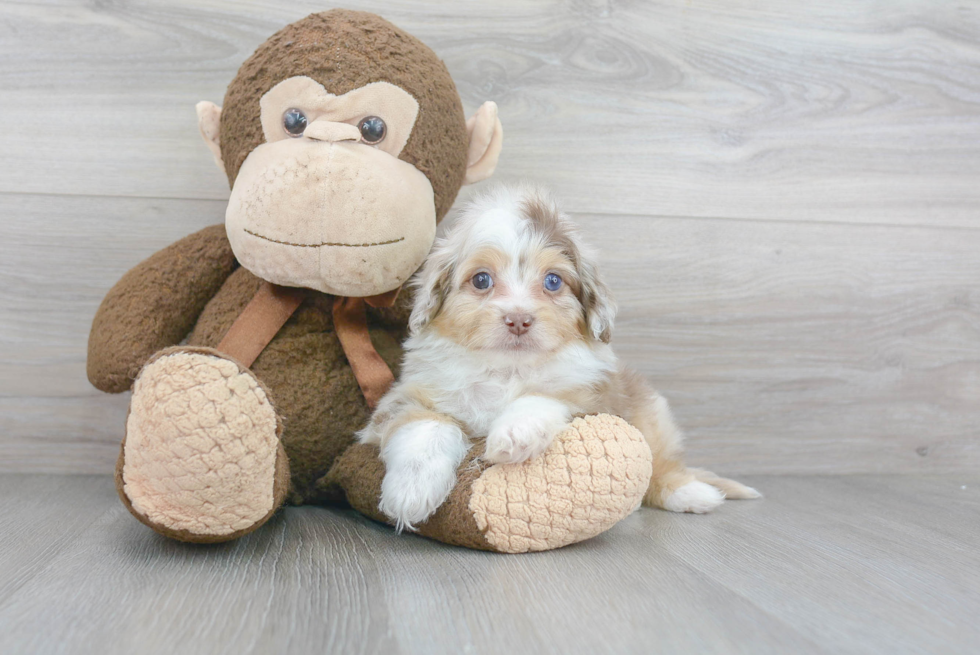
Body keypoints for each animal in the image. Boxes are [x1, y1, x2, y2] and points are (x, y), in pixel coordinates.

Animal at [358, 182, 756, 532]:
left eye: (553, 281)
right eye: (482, 280)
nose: (519, 319)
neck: (507, 369)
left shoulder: (591, 396)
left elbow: (543, 396)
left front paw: (513, 434)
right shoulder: (406, 397)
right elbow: (427, 426)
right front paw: (411, 491)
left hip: (652, 413)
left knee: (663, 466)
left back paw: (693, 494)